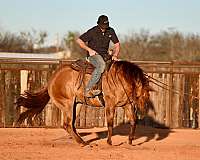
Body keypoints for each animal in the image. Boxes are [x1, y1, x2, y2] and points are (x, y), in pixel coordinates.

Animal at [15, 59, 152, 145]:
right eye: (143, 93)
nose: (144, 109)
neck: (119, 79)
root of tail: (52, 79)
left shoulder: (127, 105)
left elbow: (133, 121)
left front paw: (130, 141)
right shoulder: (110, 105)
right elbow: (110, 123)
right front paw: (109, 142)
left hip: (77, 104)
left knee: (72, 125)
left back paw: (80, 140)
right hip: (67, 104)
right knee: (67, 124)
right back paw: (82, 143)